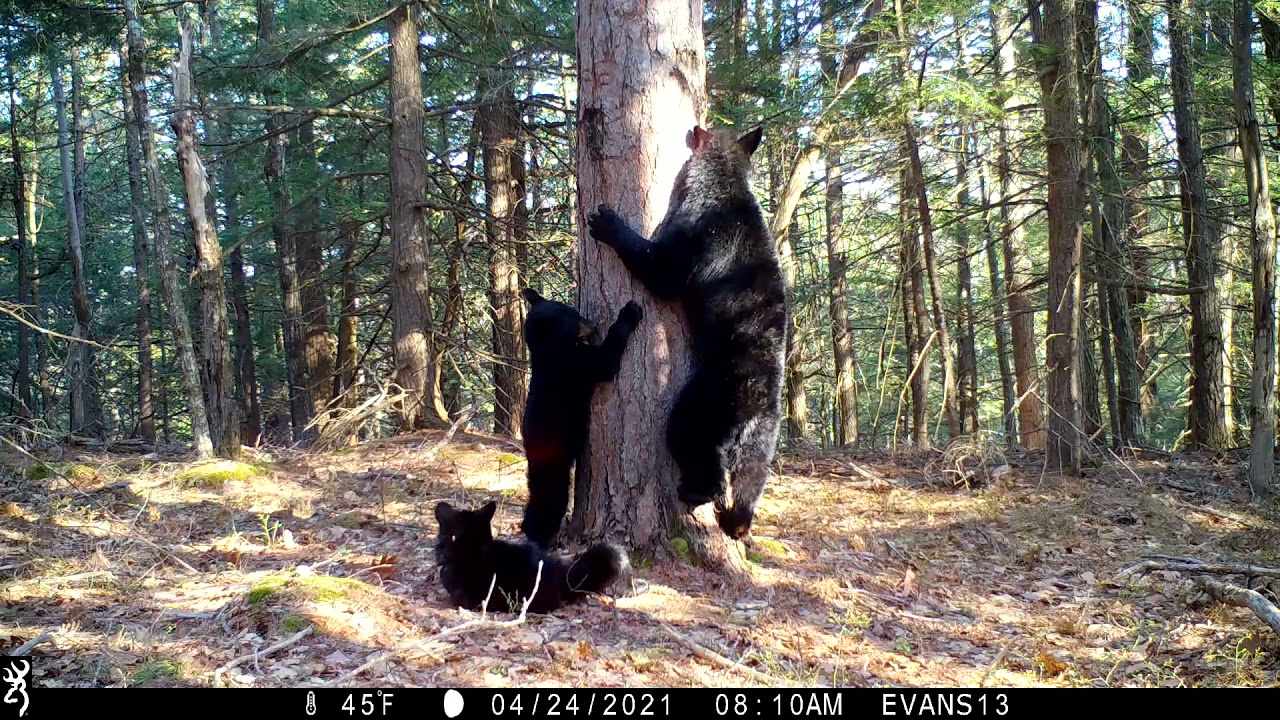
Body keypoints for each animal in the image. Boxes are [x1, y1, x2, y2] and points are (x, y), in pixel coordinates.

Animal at [519, 287, 644, 548]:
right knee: (549, 503)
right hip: (555, 467)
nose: (594, 324)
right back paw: (541, 538)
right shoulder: (574, 365)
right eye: (574, 317)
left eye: (574, 310)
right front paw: (629, 312)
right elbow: (604, 362)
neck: (549, 349)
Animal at [586, 125, 788, 541]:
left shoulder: (696, 238)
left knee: (692, 442)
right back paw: (737, 520)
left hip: (706, 402)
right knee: (751, 477)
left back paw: (696, 492)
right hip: (764, 439)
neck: (723, 179)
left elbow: (662, 268)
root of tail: (758, 406)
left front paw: (609, 224)